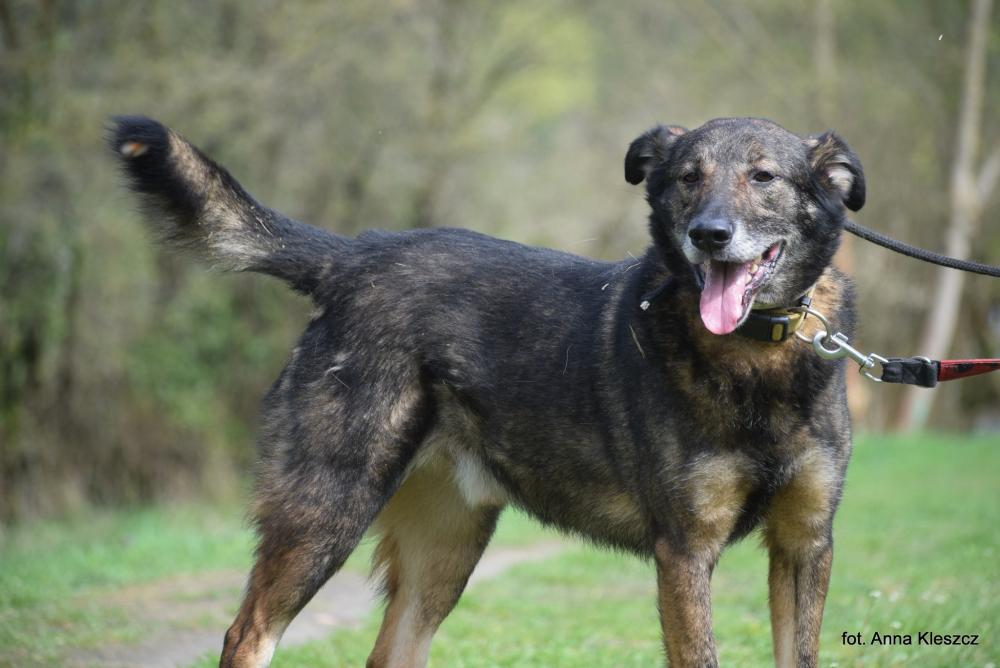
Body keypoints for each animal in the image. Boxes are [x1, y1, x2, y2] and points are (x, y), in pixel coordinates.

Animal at [110, 115, 863, 667]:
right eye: (687, 178)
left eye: (763, 177)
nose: (709, 235)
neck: (757, 356)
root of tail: (352, 256)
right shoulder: (684, 551)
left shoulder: (805, 545)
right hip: (326, 509)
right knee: (248, 635)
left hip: (444, 549)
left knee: (389, 653)